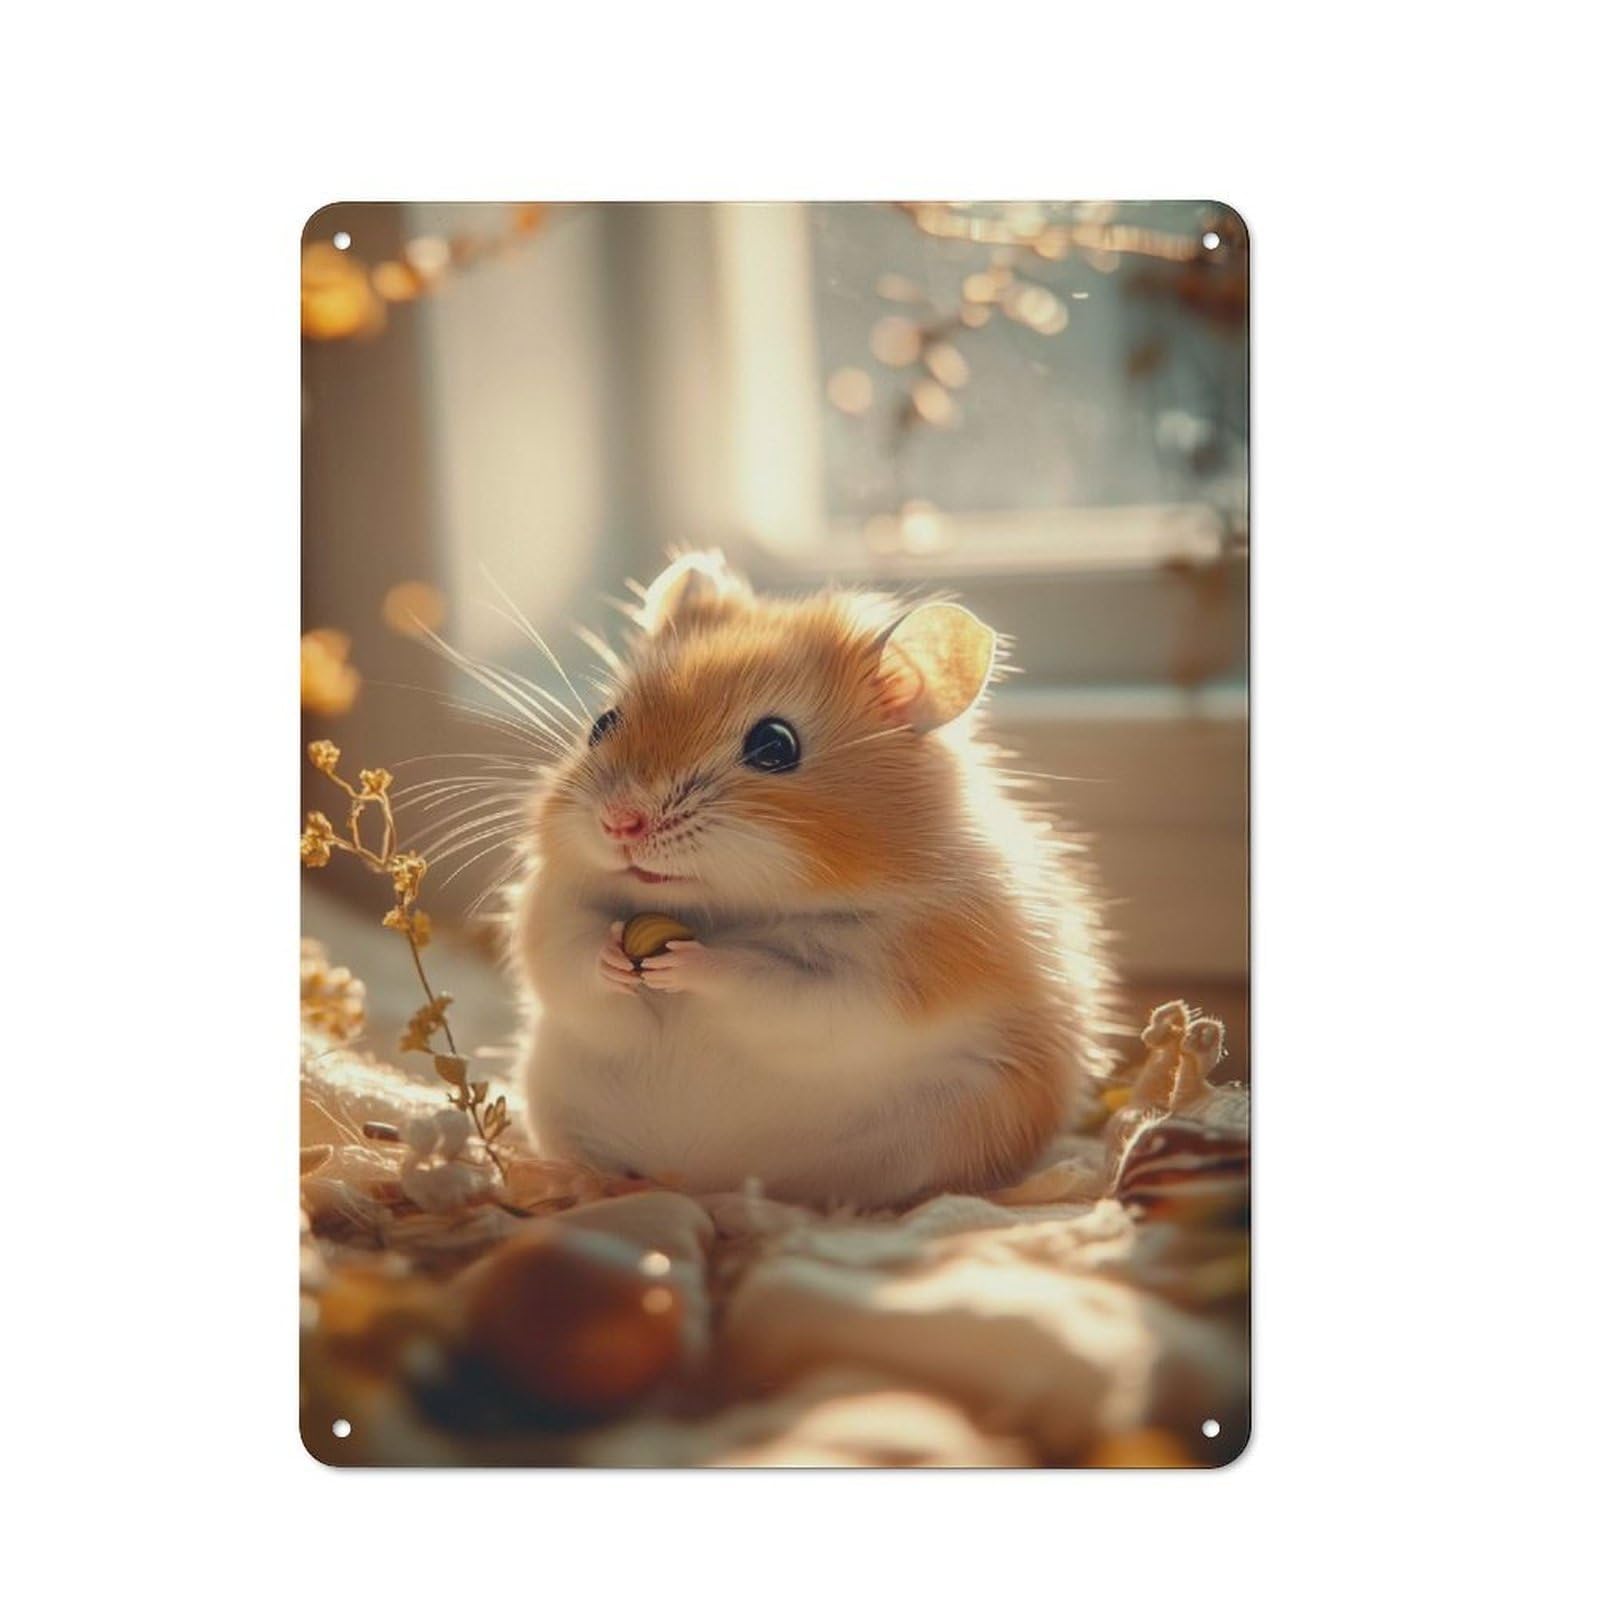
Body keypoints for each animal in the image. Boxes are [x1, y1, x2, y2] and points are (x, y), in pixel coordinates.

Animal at [509, 551, 1108, 1208]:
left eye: (775, 745)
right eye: (602, 723)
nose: (619, 822)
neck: (728, 909)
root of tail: (701, 1179)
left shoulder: (885, 979)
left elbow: (770, 986)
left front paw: (686, 963)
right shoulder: (553, 905)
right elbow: (569, 958)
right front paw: (616, 957)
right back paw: (573, 1182)